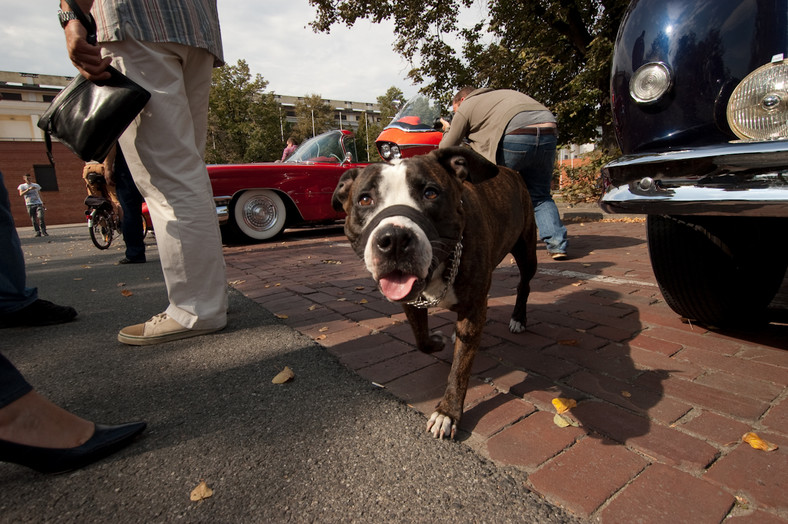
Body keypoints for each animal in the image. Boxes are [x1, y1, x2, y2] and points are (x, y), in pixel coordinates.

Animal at [330, 147, 540, 438]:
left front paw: (447, 413)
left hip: (527, 251)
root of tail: (512, 172)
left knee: (524, 284)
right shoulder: (410, 302)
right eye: (364, 199)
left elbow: (460, 368)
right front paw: (437, 341)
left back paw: (519, 318)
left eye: (430, 193)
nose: (394, 239)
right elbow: (421, 340)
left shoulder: (474, 308)